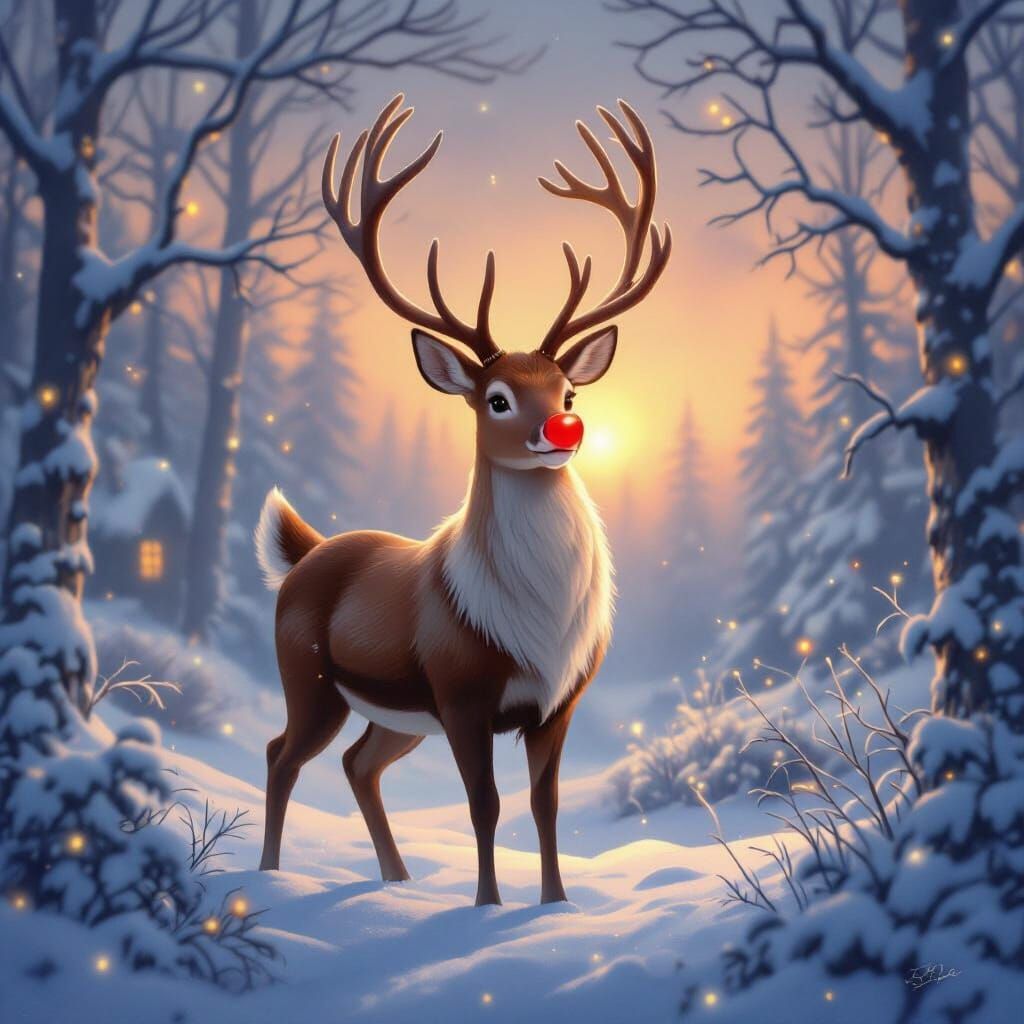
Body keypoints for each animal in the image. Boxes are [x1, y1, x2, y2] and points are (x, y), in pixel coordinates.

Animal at [255, 94, 670, 906]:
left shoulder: (557, 701)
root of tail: (307, 552)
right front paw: (485, 905)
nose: (564, 430)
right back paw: (268, 874)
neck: (536, 624)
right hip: (310, 678)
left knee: (357, 763)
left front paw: (555, 904)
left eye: (569, 392)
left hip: (397, 715)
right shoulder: (461, 693)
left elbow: (544, 805)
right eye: (498, 398)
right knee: (281, 752)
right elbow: (486, 805)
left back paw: (396, 880)